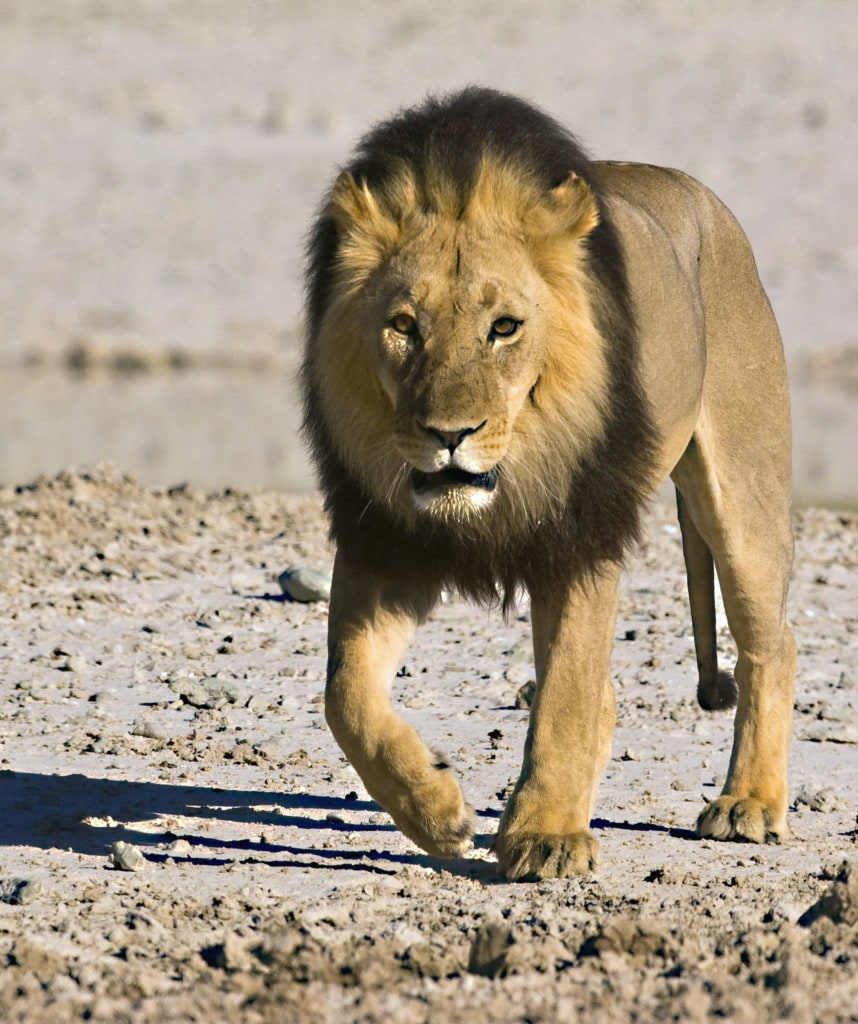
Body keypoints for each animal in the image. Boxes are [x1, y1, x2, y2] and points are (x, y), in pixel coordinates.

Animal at [301, 87, 795, 881]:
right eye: (403, 325)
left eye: (504, 327)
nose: (449, 435)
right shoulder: (384, 539)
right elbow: (346, 693)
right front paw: (436, 812)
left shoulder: (581, 536)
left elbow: (565, 693)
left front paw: (549, 836)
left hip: (744, 497)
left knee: (771, 645)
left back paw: (748, 803)